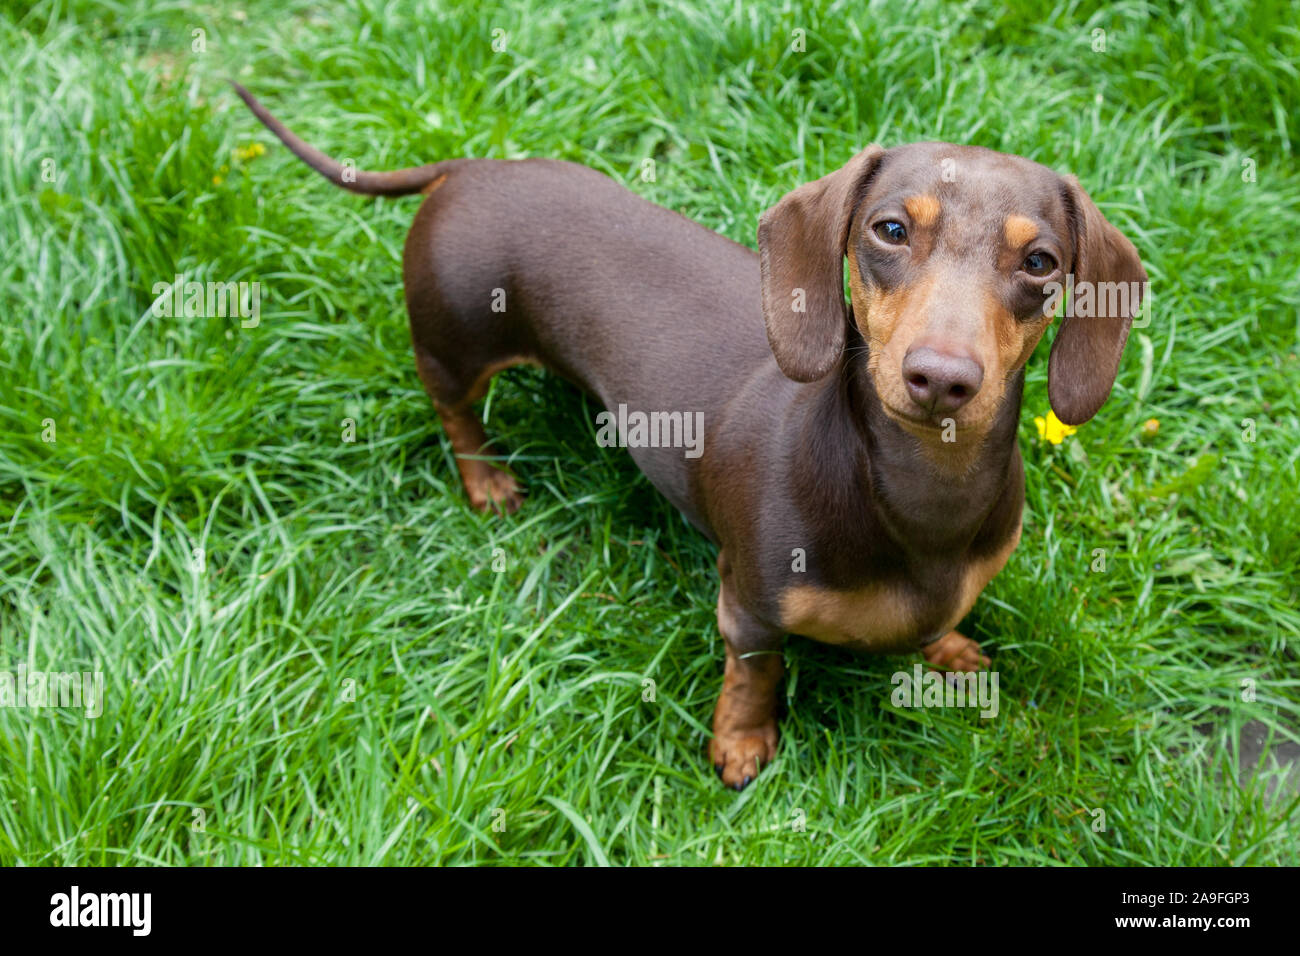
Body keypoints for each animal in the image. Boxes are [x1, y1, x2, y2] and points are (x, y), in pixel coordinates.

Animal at [236, 82, 1149, 790]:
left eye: (1040, 263)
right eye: (890, 230)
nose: (943, 379)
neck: (920, 496)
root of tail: (469, 168)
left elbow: (938, 624)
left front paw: (953, 651)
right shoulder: (747, 602)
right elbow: (757, 671)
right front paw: (741, 744)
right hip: (452, 341)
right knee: (455, 411)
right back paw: (487, 480)